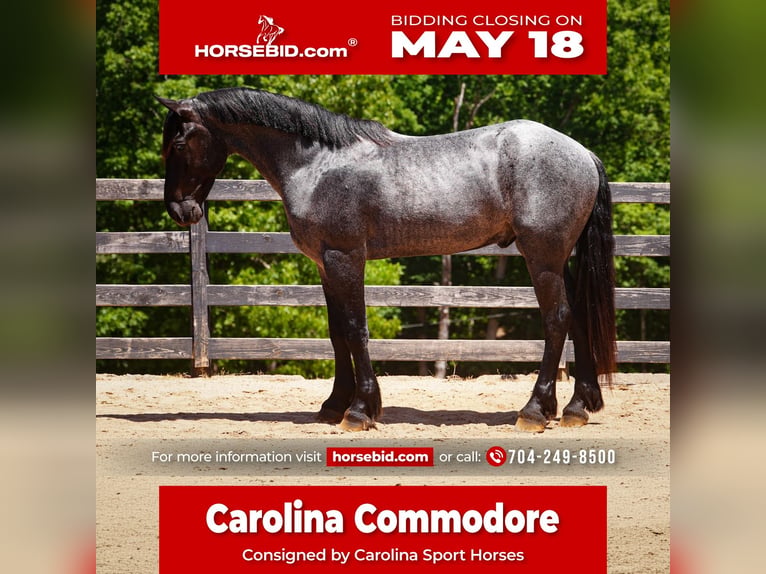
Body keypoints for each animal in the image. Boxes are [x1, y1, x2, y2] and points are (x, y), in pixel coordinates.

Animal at [156, 87, 616, 433]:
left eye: (178, 142)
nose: (180, 211)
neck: (318, 164)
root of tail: (584, 154)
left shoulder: (345, 258)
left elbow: (355, 328)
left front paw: (360, 410)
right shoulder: (325, 265)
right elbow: (337, 332)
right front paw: (334, 405)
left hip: (542, 257)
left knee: (557, 319)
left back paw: (535, 411)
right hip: (560, 259)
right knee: (578, 316)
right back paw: (577, 407)